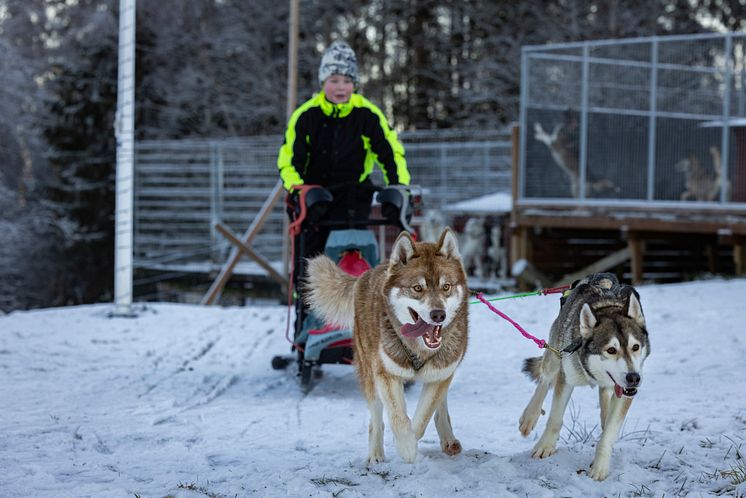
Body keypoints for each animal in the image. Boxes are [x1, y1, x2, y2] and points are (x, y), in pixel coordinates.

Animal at [302, 229, 464, 462]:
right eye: (417, 288)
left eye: (446, 287)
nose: (438, 314)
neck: (418, 350)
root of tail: (366, 273)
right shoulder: (386, 374)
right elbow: (398, 418)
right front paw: (406, 446)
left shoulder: (440, 375)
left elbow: (423, 417)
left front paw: (410, 440)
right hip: (369, 373)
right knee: (376, 417)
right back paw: (376, 454)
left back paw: (448, 439)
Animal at [516, 274, 648, 480]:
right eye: (611, 350)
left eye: (635, 347)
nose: (634, 378)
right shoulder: (566, 377)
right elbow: (555, 418)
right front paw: (545, 446)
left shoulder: (625, 392)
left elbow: (609, 432)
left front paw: (600, 466)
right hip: (555, 354)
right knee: (545, 380)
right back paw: (529, 417)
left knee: (605, 395)